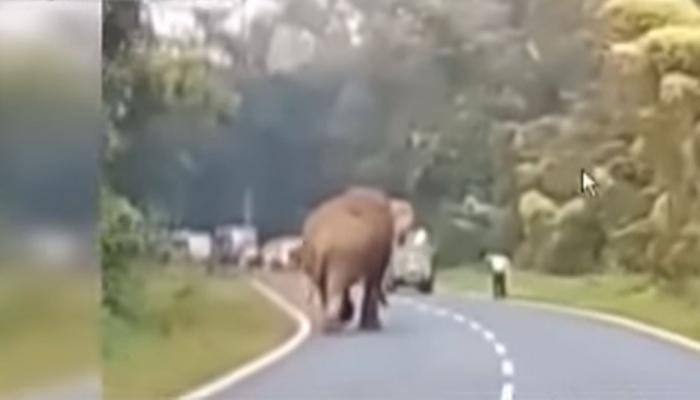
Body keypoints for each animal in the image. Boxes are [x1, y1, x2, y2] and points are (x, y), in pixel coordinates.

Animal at [292, 188, 396, 332]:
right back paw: (333, 326)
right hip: (343, 253)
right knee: (334, 286)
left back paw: (328, 325)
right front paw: (372, 326)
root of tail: (322, 242)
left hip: (322, 258)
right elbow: (373, 282)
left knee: (325, 287)